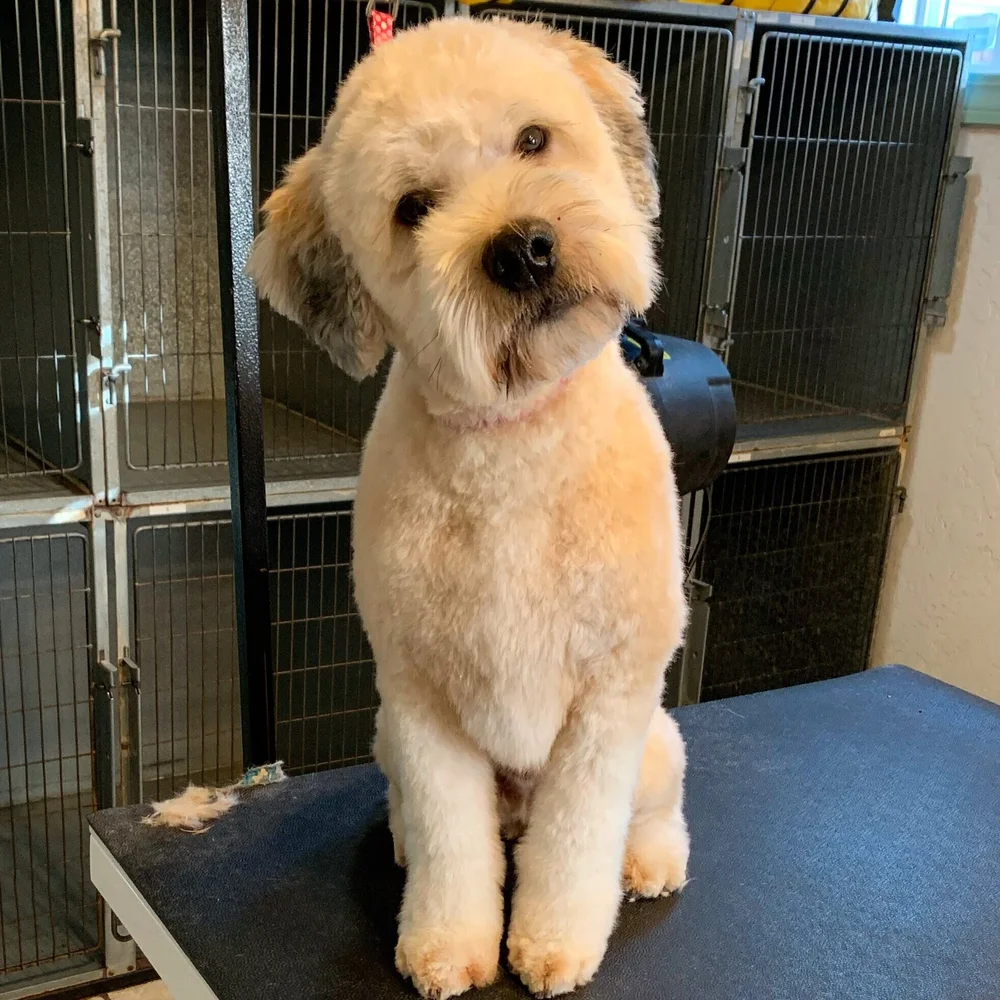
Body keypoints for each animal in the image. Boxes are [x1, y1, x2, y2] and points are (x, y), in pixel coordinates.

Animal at [248, 17, 689, 998]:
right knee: (438, 820)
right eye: (413, 207)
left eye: (533, 139)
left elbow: (577, 842)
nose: (520, 248)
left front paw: (556, 942)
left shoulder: (607, 699)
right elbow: (454, 843)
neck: (512, 443)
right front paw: (449, 942)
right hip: (385, 738)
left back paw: (650, 860)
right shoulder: (422, 700)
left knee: (652, 807)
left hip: (655, 743)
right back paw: (408, 842)